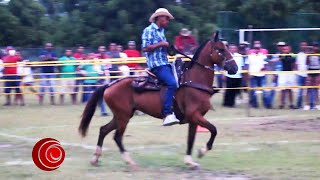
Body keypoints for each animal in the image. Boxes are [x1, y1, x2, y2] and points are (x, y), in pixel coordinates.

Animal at [77, 31, 238, 169]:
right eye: (220, 49)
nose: (235, 68)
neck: (193, 80)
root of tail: (110, 85)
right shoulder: (194, 115)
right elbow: (213, 130)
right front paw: (202, 151)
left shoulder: (194, 119)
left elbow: (191, 140)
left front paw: (190, 161)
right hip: (123, 117)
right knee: (117, 137)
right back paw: (129, 161)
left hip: (121, 115)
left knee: (104, 130)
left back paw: (95, 158)